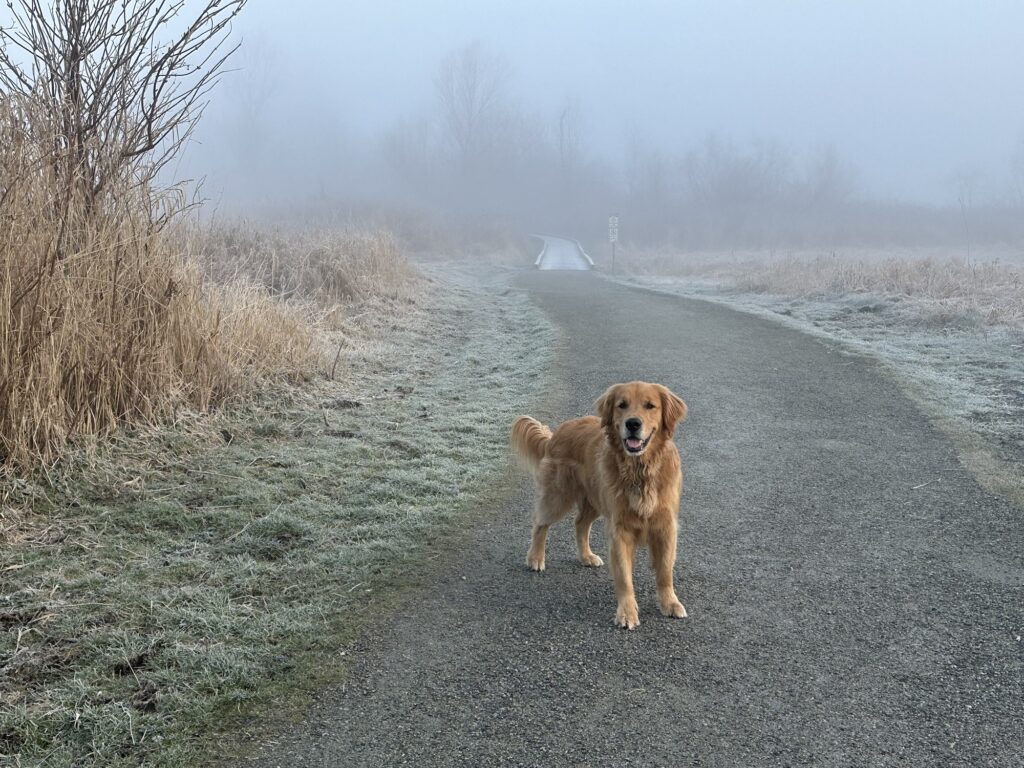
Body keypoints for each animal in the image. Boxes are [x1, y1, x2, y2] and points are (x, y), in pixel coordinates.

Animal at [512, 382, 688, 626]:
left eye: (650, 405)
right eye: (622, 405)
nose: (633, 423)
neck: (640, 470)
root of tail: (556, 433)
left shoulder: (666, 526)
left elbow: (665, 571)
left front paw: (670, 603)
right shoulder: (620, 529)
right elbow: (624, 576)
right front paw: (627, 612)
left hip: (594, 501)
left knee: (580, 523)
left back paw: (586, 556)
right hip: (558, 496)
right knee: (540, 522)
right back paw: (536, 557)